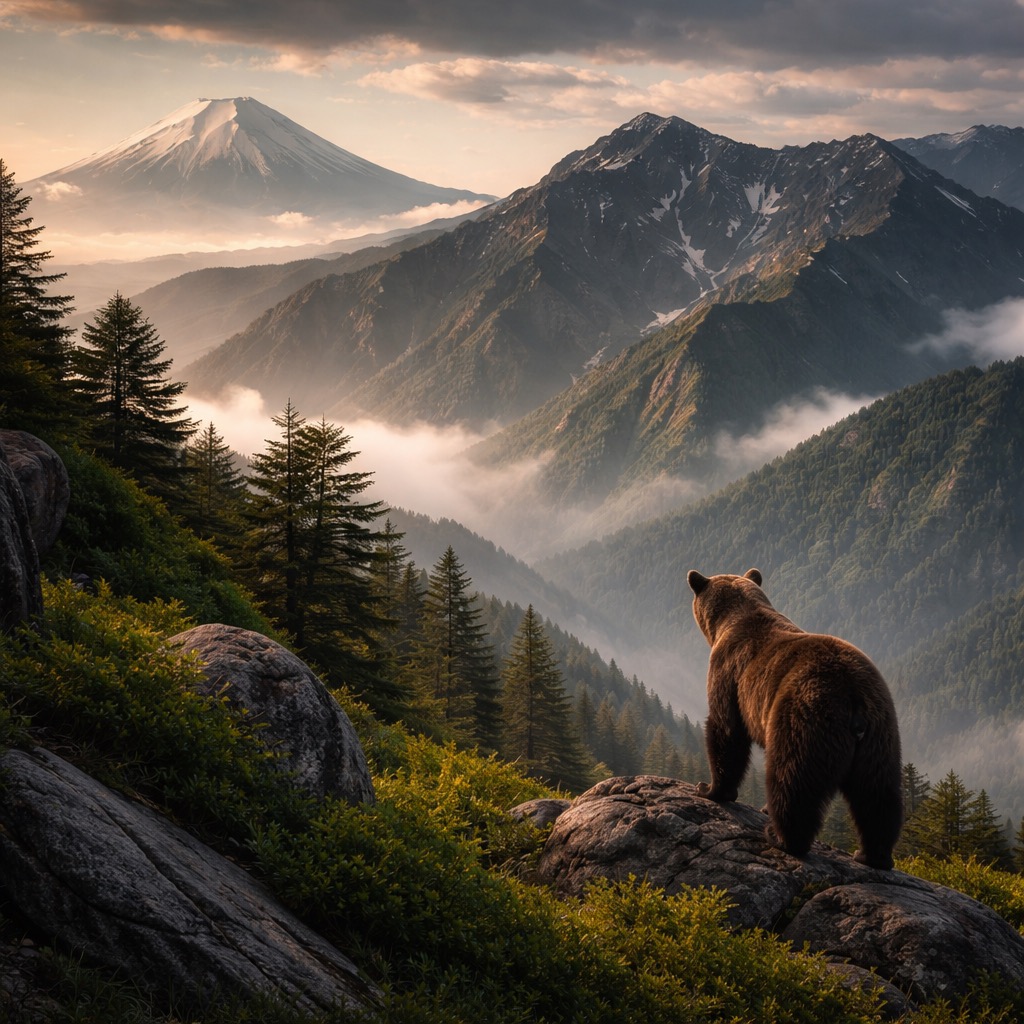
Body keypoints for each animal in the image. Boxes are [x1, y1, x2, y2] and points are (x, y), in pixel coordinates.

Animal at [686, 567, 903, 870]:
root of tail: (853, 695)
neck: (729, 621)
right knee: (877, 793)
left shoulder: (729, 672)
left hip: (804, 717)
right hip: (881, 733)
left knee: (792, 780)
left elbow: (726, 729)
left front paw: (710, 788)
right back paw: (872, 855)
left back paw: (782, 837)